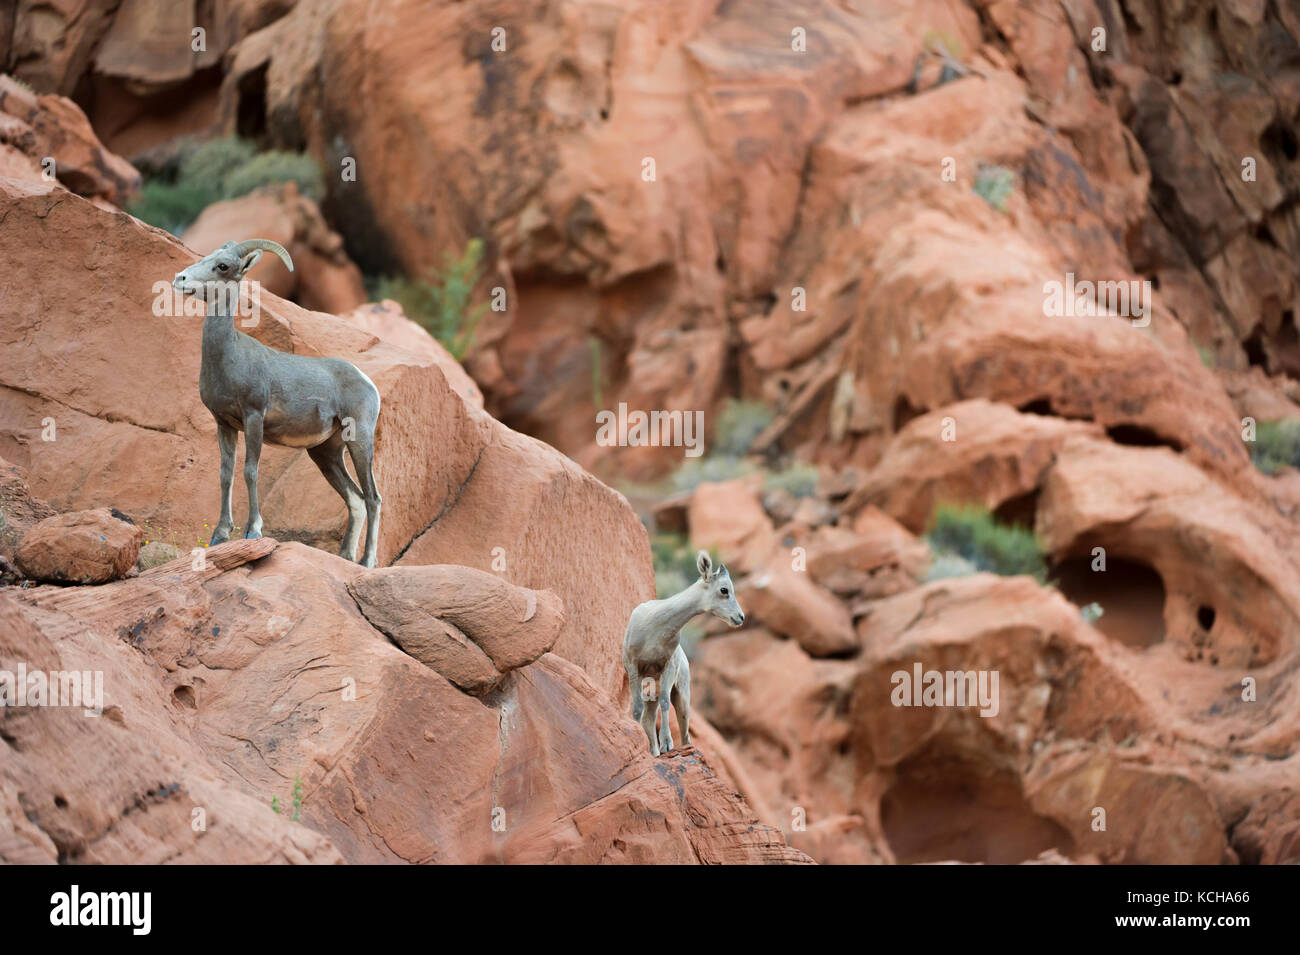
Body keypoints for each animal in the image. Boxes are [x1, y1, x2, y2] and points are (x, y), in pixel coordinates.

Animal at [172, 238, 383, 567]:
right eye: (208, 257)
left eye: (223, 266)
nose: (180, 279)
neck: (229, 359)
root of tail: (367, 382)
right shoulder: (224, 424)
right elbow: (225, 475)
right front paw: (220, 535)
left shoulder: (254, 418)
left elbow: (250, 471)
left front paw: (253, 531)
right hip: (326, 453)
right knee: (356, 499)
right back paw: (345, 557)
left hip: (359, 440)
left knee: (373, 498)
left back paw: (366, 562)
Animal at [622, 550, 745, 756]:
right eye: (724, 590)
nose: (740, 617)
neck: (654, 628)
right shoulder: (634, 666)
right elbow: (637, 708)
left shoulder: (667, 665)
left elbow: (665, 702)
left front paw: (667, 744)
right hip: (651, 695)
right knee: (648, 719)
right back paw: (654, 752)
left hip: (682, 698)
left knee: (684, 732)